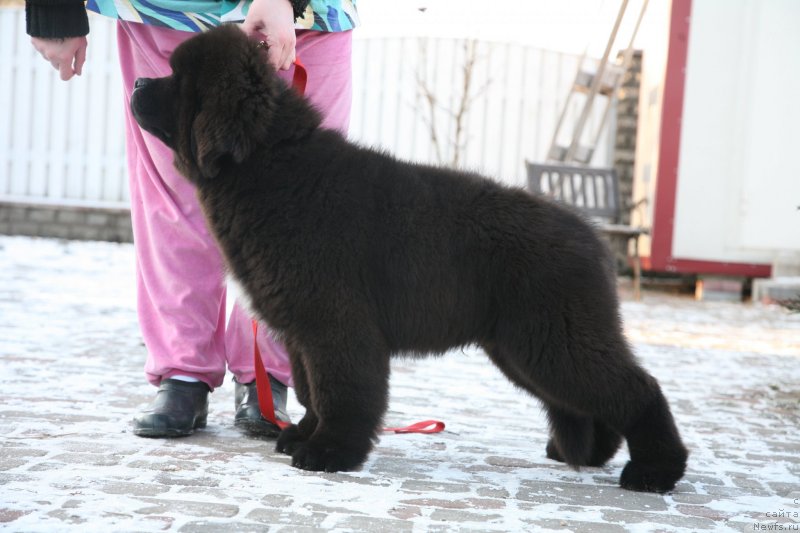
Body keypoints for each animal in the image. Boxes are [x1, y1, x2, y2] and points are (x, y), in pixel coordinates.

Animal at [130, 25, 688, 490]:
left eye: (178, 79)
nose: (136, 82)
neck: (270, 168)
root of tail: (591, 237)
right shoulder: (303, 332)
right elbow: (311, 390)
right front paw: (303, 435)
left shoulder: (336, 325)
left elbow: (340, 391)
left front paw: (330, 452)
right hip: (521, 346)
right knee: (591, 397)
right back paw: (592, 454)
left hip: (552, 338)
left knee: (636, 389)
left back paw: (655, 471)